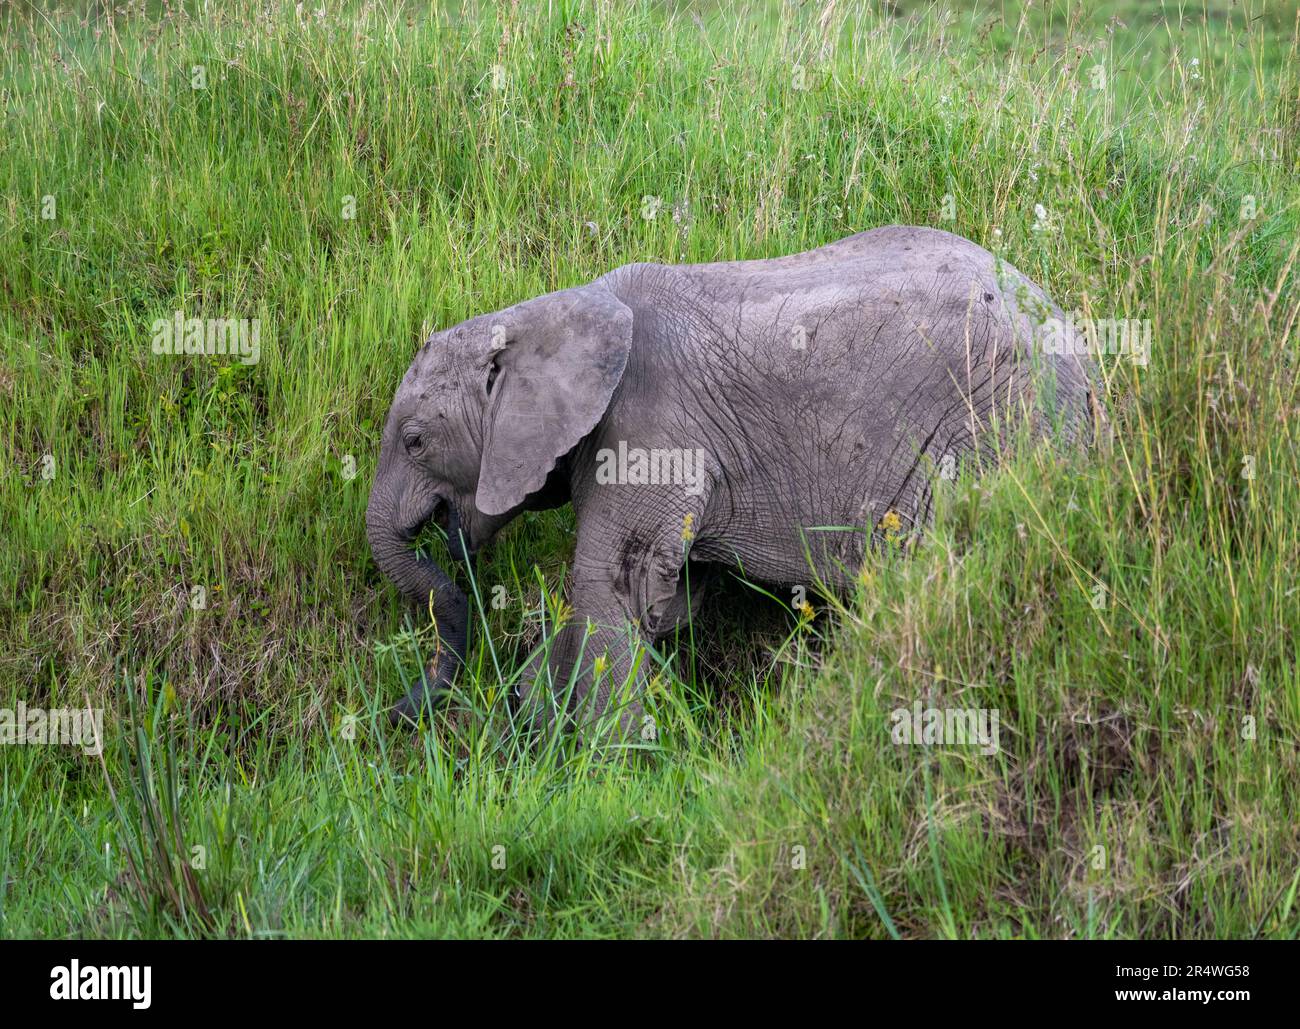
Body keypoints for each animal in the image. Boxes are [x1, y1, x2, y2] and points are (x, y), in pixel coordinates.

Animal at [366, 226, 1096, 733]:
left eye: (415, 440)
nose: (394, 714)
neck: (549, 315)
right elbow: (669, 600)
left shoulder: (650, 431)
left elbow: (611, 587)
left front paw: (605, 761)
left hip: (1004, 431)